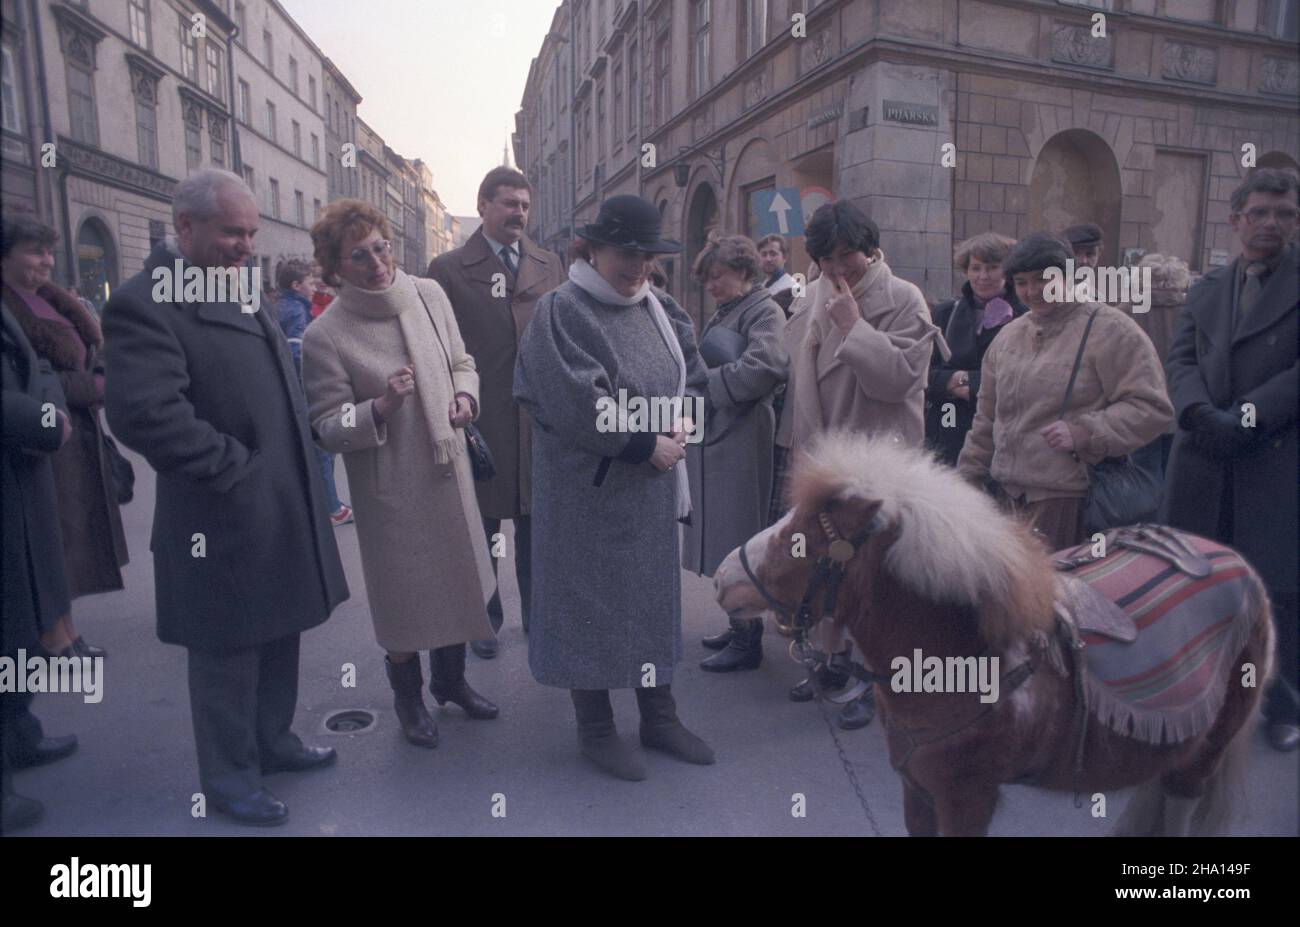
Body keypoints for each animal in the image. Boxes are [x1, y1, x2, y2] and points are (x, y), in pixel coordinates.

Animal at [712, 429, 1268, 837]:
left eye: (797, 540)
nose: (721, 579)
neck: (965, 659)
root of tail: (1238, 564)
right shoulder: (918, 791)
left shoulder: (967, 799)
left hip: (1205, 754)